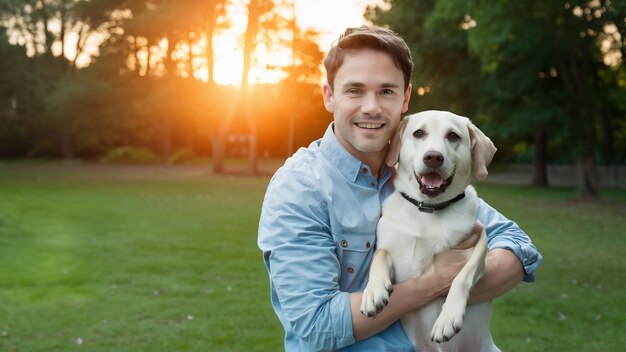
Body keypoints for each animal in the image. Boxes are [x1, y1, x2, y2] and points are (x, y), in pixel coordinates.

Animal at [360, 110, 498, 352]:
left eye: (453, 136)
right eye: (418, 133)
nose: (433, 157)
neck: (427, 210)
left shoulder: (480, 242)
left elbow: (462, 277)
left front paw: (448, 317)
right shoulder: (390, 250)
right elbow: (379, 255)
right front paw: (373, 291)